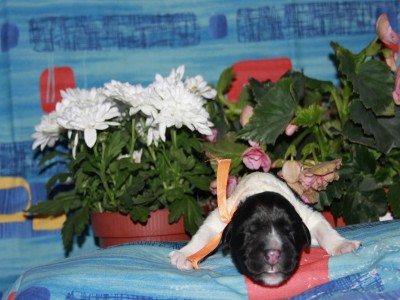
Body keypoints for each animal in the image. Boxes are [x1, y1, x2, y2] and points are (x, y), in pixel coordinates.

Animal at [167, 171, 360, 286]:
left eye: (289, 232)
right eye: (249, 233)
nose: (273, 254)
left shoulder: (307, 216)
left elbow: (324, 228)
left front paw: (342, 245)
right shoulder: (220, 218)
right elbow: (203, 235)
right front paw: (186, 255)